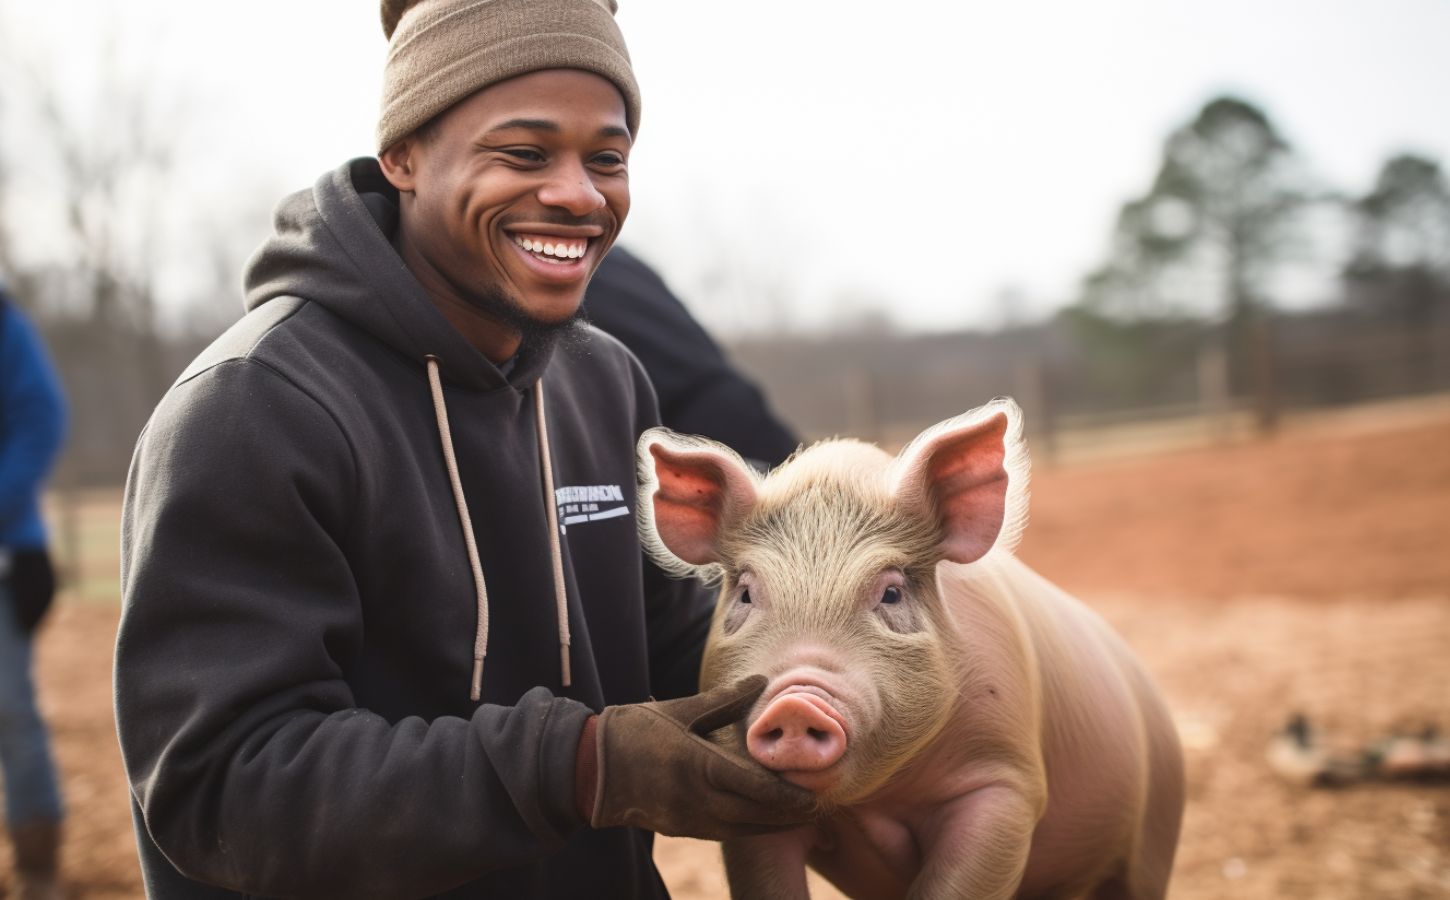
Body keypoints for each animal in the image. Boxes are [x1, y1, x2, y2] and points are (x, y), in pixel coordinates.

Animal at [640, 400, 1183, 898]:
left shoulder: (1004, 781)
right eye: (747, 594)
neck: (873, 800)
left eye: (892, 593)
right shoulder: (743, 802)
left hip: (1157, 829)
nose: (796, 700)